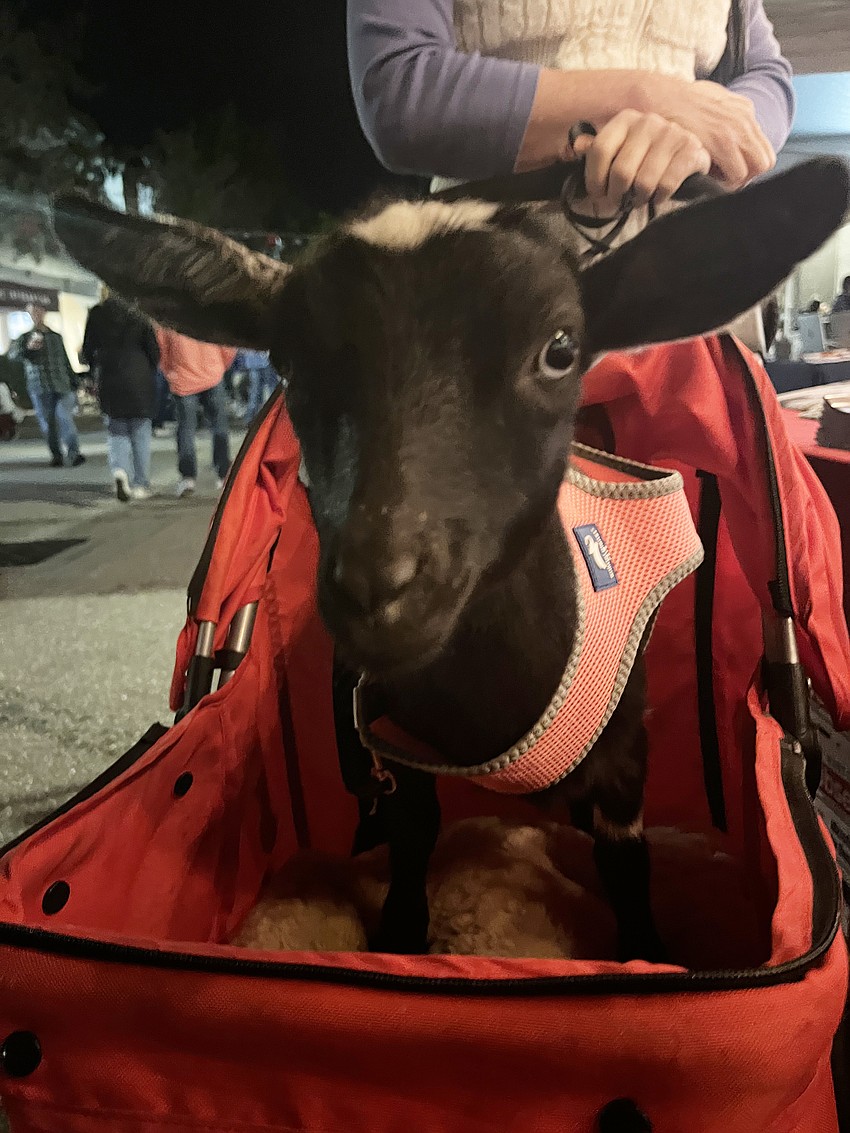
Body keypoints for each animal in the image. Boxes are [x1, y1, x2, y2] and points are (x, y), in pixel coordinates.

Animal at [54, 158, 850, 961]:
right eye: (287, 361)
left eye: (560, 349)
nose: (378, 591)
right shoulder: (397, 753)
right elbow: (411, 845)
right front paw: (401, 935)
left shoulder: (626, 757)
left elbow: (626, 866)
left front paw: (646, 951)